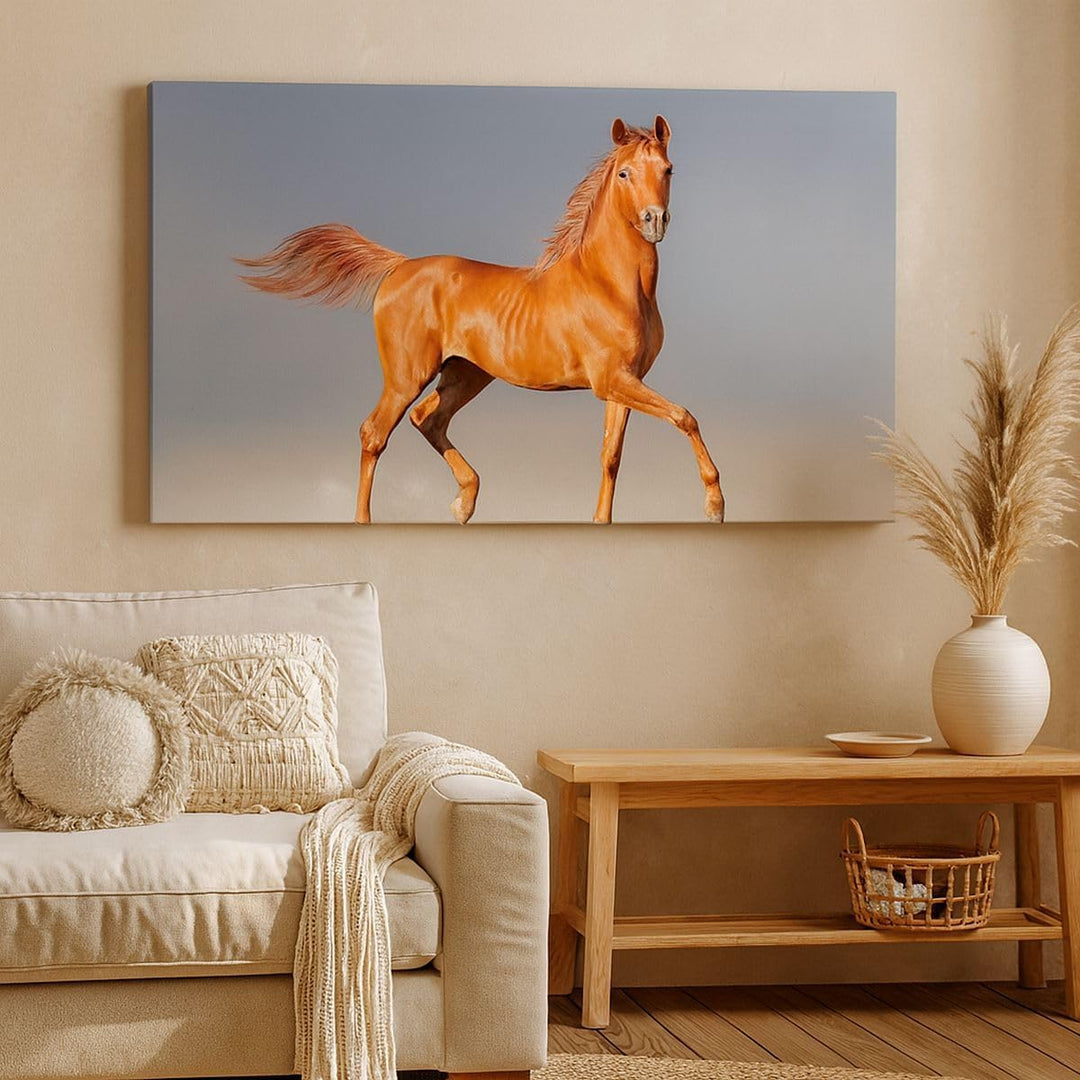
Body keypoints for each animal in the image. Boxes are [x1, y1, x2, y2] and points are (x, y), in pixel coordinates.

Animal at [236, 115, 725, 525]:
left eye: (668, 169)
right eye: (624, 173)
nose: (654, 220)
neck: (610, 283)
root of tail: (400, 267)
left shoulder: (623, 383)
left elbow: (611, 456)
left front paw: (602, 522)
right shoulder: (612, 380)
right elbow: (685, 417)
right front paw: (715, 505)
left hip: (466, 373)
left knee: (428, 420)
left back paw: (464, 501)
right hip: (407, 375)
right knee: (375, 433)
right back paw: (369, 520)